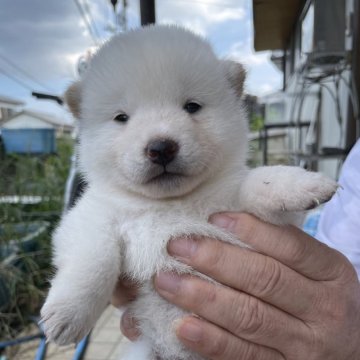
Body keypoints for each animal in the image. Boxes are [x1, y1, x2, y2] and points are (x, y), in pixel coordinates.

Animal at [41, 26, 338, 360]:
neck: (169, 204)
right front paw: (67, 313)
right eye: (121, 118)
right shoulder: (90, 216)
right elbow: (94, 257)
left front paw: (303, 183)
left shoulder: (238, 204)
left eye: (192, 106)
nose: (161, 147)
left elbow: (256, 182)